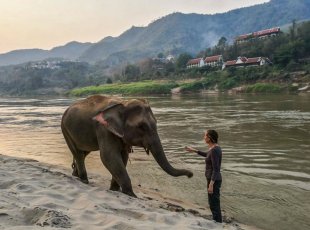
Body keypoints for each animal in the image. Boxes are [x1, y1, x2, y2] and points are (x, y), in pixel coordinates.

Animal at [60, 94, 193, 197]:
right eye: (142, 126)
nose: (191, 175)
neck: (123, 103)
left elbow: (123, 157)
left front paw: (114, 190)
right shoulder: (103, 129)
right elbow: (109, 156)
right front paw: (132, 195)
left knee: (83, 152)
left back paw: (76, 176)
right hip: (65, 129)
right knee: (78, 153)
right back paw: (84, 180)